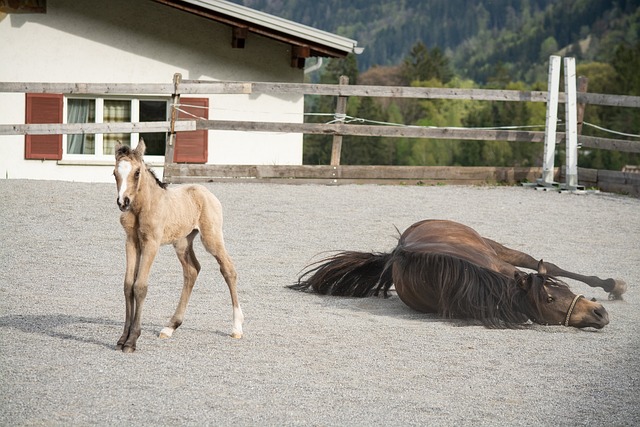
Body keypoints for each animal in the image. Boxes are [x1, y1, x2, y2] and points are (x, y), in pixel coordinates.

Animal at [292, 219, 624, 330]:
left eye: (564, 290)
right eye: (550, 299)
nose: (599, 312)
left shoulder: (506, 269)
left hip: (494, 246)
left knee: (541, 262)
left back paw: (612, 285)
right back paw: (613, 285)